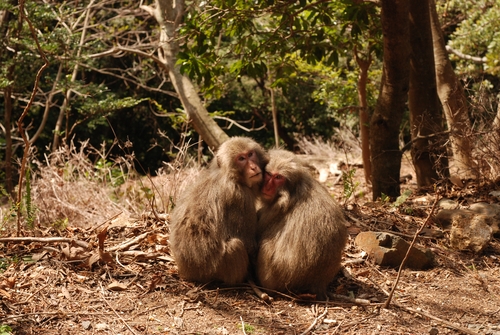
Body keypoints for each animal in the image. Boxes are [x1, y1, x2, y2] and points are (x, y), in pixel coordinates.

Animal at [168, 136, 270, 286]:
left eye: (251, 154)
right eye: (241, 159)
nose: (253, 167)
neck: (232, 177)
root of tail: (188, 272)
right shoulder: (240, 198)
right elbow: (248, 243)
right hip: (217, 269)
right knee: (235, 246)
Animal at [256, 150, 346, 300]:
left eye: (278, 177)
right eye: (269, 174)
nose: (267, 186)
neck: (293, 190)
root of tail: (318, 284)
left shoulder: (275, 209)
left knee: (266, 245)